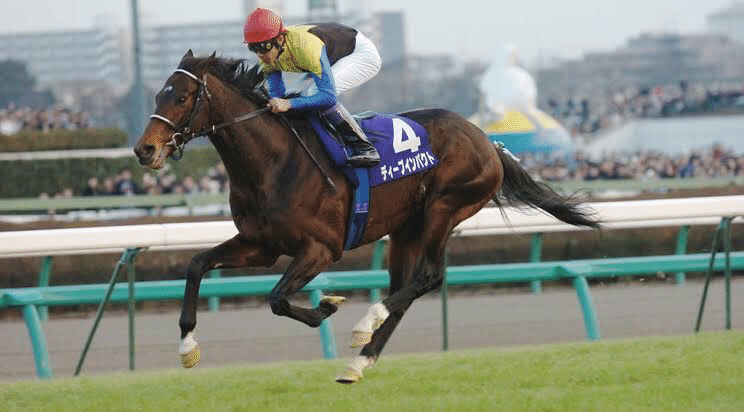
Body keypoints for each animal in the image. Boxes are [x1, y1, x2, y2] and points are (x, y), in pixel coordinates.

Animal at [133, 51, 600, 383]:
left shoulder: (321, 249)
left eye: (181, 97)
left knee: (428, 277)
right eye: (157, 95)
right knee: (405, 288)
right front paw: (187, 347)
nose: (144, 149)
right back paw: (359, 362)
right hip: (406, 229)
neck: (274, 163)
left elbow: (278, 298)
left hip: (445, 208)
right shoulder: (261, 245)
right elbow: (197, 264)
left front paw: (326, 307)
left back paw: (365, 324)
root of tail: (487, 139)